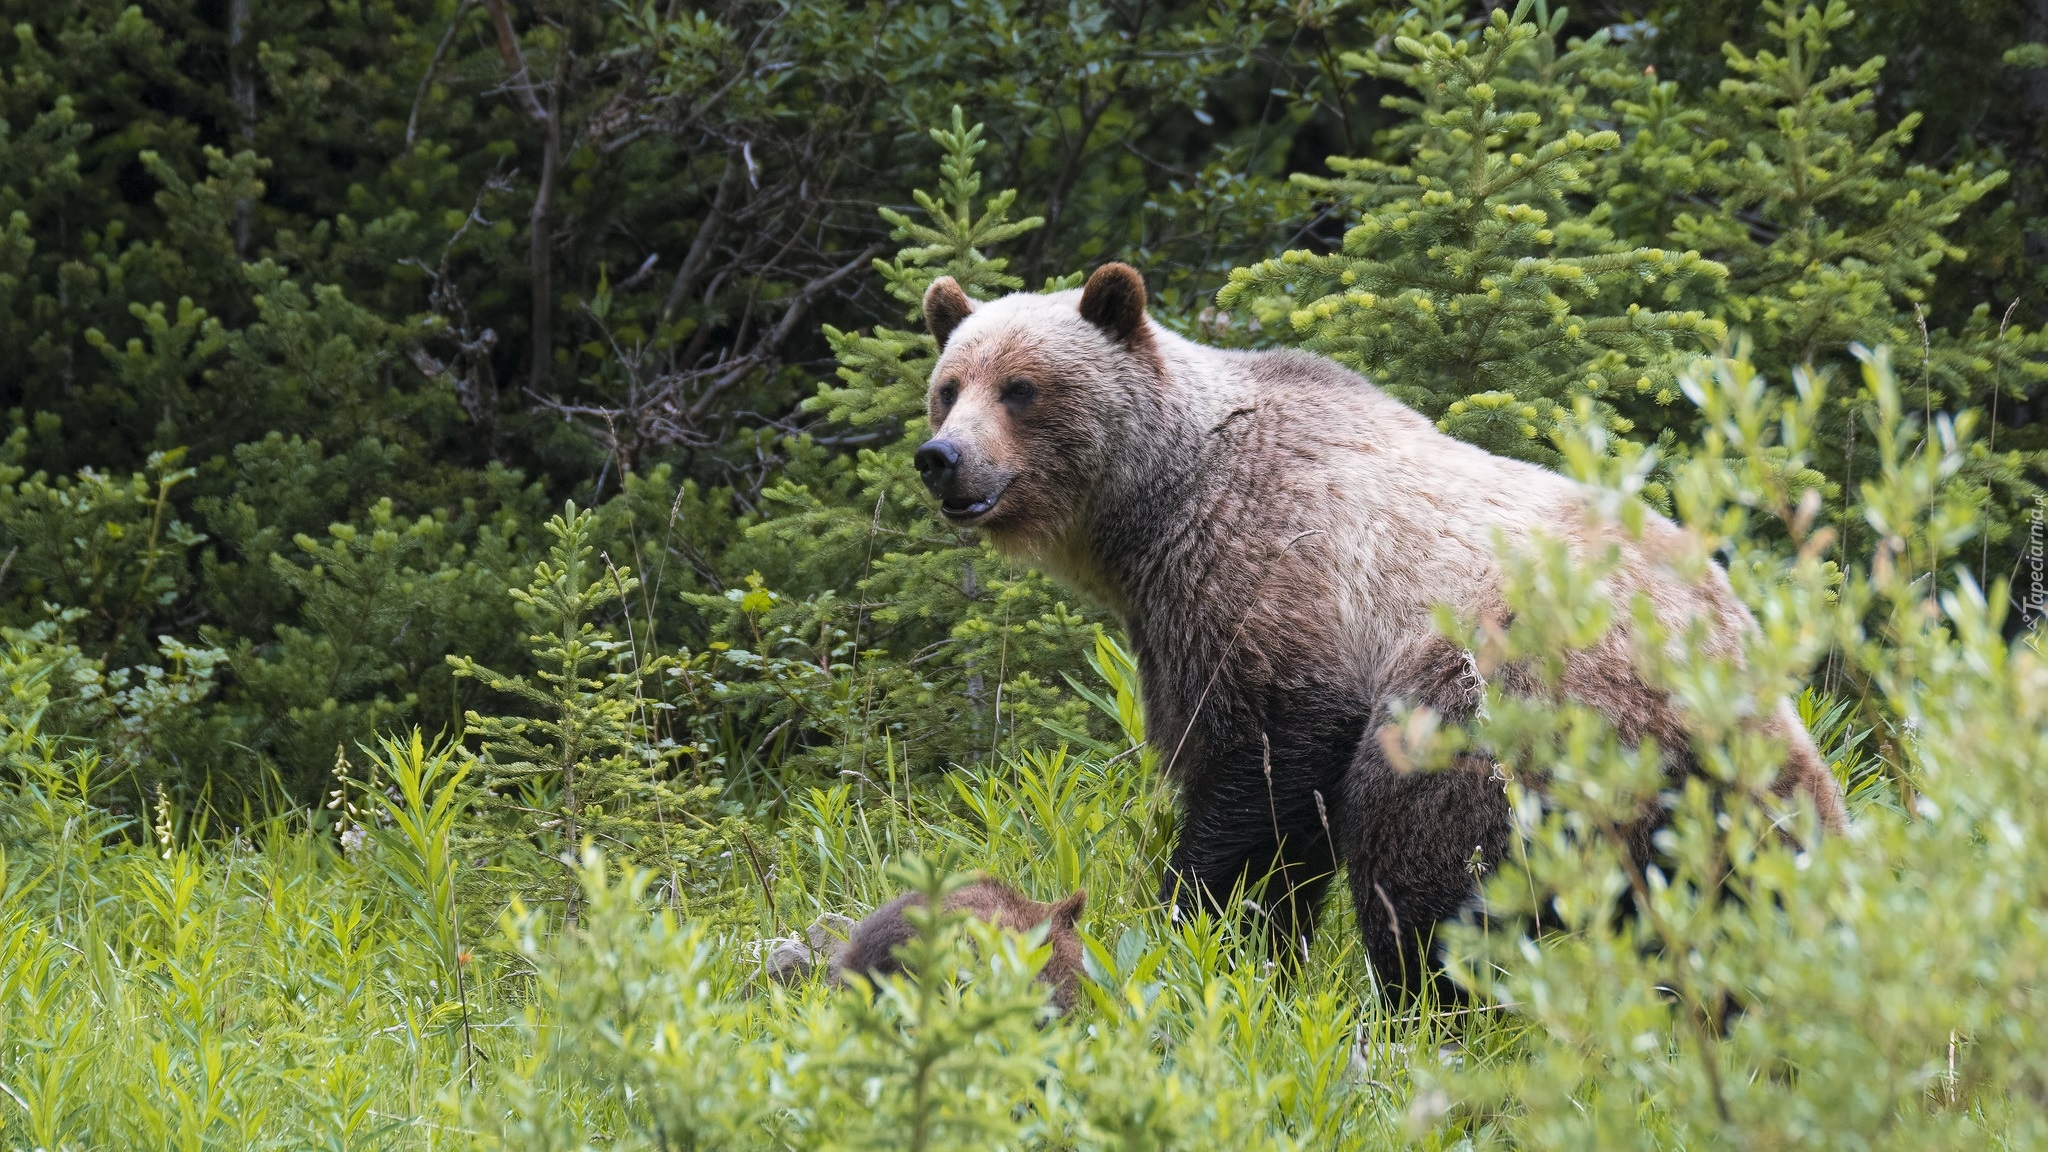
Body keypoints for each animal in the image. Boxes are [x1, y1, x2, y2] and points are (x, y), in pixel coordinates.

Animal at [921, 260, 1851, 996]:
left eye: (1021, 387)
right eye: (948, 386)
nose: (943, 459)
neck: (1158, 504)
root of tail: (1716, 665)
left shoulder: (1272, 587)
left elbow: (1261, 779)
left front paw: (1201, 925)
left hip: (1500, 703)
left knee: (1420, 861)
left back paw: (1424, 1004)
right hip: (1737, 797)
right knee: (1763, 900)